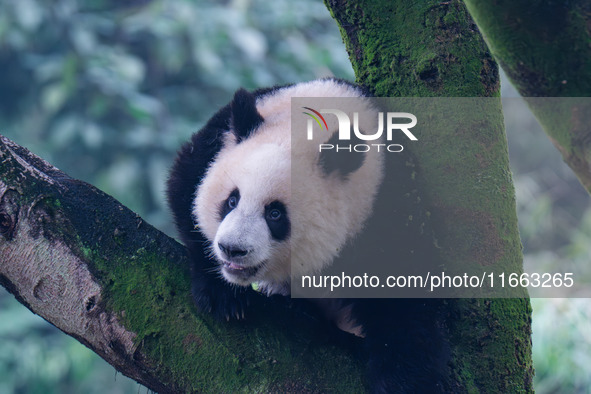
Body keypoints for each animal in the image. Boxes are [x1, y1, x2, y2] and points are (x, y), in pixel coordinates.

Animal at [166, 78, 448, 392]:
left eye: (275, 214)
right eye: (231, 200)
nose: (232, 249)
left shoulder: (387, 205)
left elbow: (407, 290)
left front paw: (400, 379)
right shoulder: (216, 139)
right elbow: (184, 185)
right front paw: (223, 297)